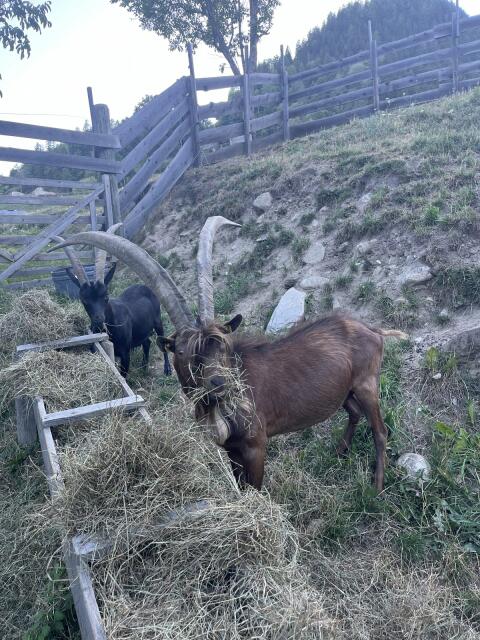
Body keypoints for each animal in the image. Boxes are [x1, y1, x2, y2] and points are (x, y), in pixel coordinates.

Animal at [54, 227, 171, 378]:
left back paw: (167, 369)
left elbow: (123, 375)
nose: (99, 319)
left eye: (106, 297)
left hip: (158, 320)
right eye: (84, 300)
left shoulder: (125, 354)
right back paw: (144, 366)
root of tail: (144, 286)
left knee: (161, 338)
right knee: (147, 342)